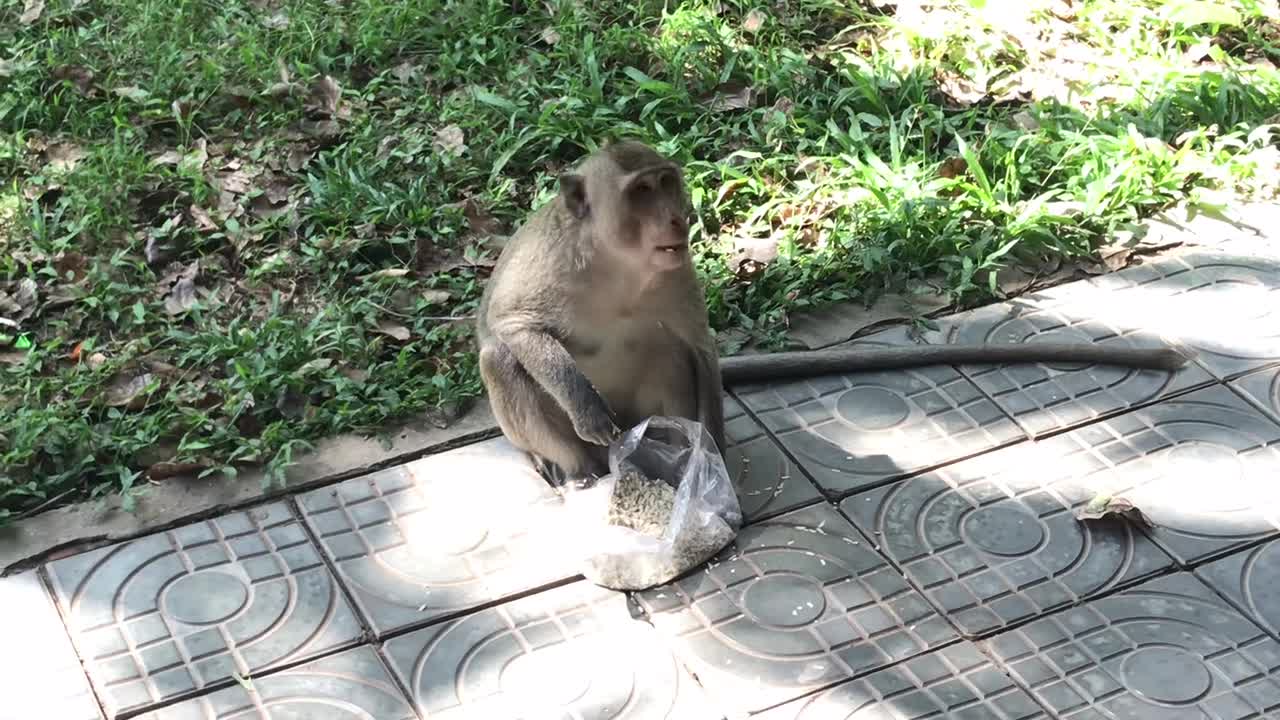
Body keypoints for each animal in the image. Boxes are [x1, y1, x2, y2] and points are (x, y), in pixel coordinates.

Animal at [473, 139, 1187, 481]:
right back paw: (572, 465)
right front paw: (585, 407)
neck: (620, 265)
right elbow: (514, 328)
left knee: (670, 357)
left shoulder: (676, 275)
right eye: (641, 192)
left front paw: (715, 456)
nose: (677, 216)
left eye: (667, 184)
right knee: (499, 360)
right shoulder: (554, 266)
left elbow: (699, 347)